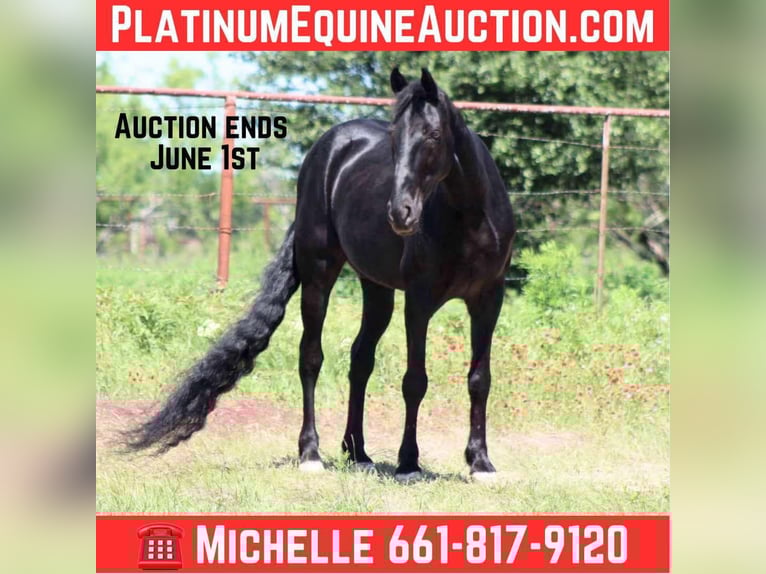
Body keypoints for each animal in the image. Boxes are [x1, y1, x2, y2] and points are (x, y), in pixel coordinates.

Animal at [125, 68, 516, 481]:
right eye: (395, 138)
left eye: (433, 135)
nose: (400, 213)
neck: (470, 219)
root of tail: (329, 148)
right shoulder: (419, 302)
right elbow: (415, 381)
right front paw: (408, 463)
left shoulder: (488, 300)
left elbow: (479, 380)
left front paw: (480, 462)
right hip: (318, 278)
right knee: (311, 357)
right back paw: (311, 453)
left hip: (376, 289)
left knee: (360, 359)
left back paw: (357, 452)